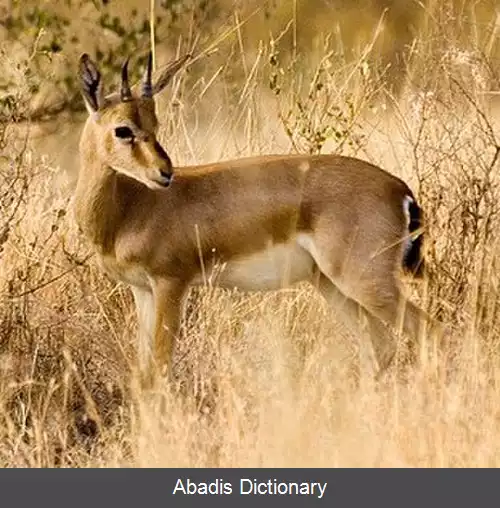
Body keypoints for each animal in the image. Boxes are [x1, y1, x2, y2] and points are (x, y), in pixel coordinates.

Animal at [75, 51, 442, 386]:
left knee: (428, 330)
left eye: (154, 125)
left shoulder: (171, 283)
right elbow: (144, 373)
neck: (130, 208)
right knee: (379, 345)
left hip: (364, 280)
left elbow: (161, 368)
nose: (164, 173)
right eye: (123, 129)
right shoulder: (143, 291)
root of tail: (399, 188)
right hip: (331, 285)